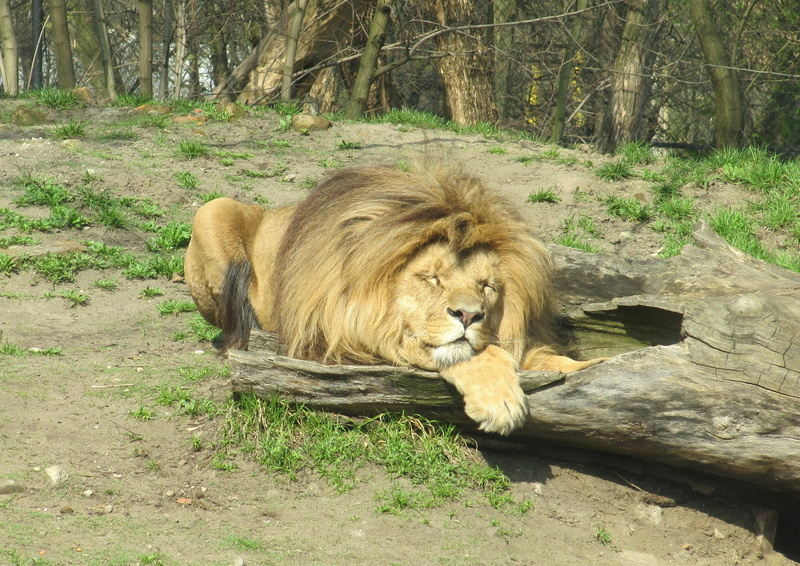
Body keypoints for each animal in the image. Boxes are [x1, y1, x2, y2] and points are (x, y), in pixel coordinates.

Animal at [184, 163, 603, 435]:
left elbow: (542, 357)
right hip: (212, 210)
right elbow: (472, 353)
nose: (469, 316)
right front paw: (499, 400)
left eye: (487, 286)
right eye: (432, 278)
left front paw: (602, 368)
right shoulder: (340, 339)